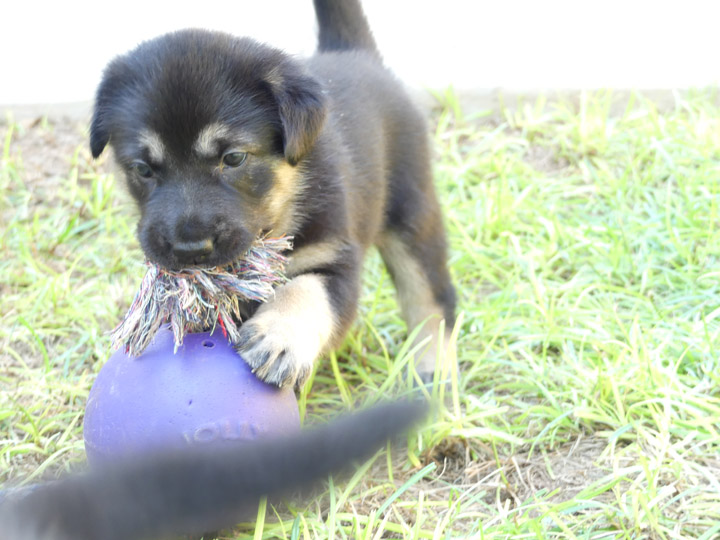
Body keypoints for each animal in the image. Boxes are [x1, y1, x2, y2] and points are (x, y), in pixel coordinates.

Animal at [90, 0, 456, 388]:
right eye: (143, 169)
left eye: (234, 158)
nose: (190, 250)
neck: (284, 207)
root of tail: (356, 54)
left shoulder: (334, 258)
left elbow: (305, 289)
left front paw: (278, 337)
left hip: (412, 213)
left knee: (432, 297)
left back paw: (434, 369)